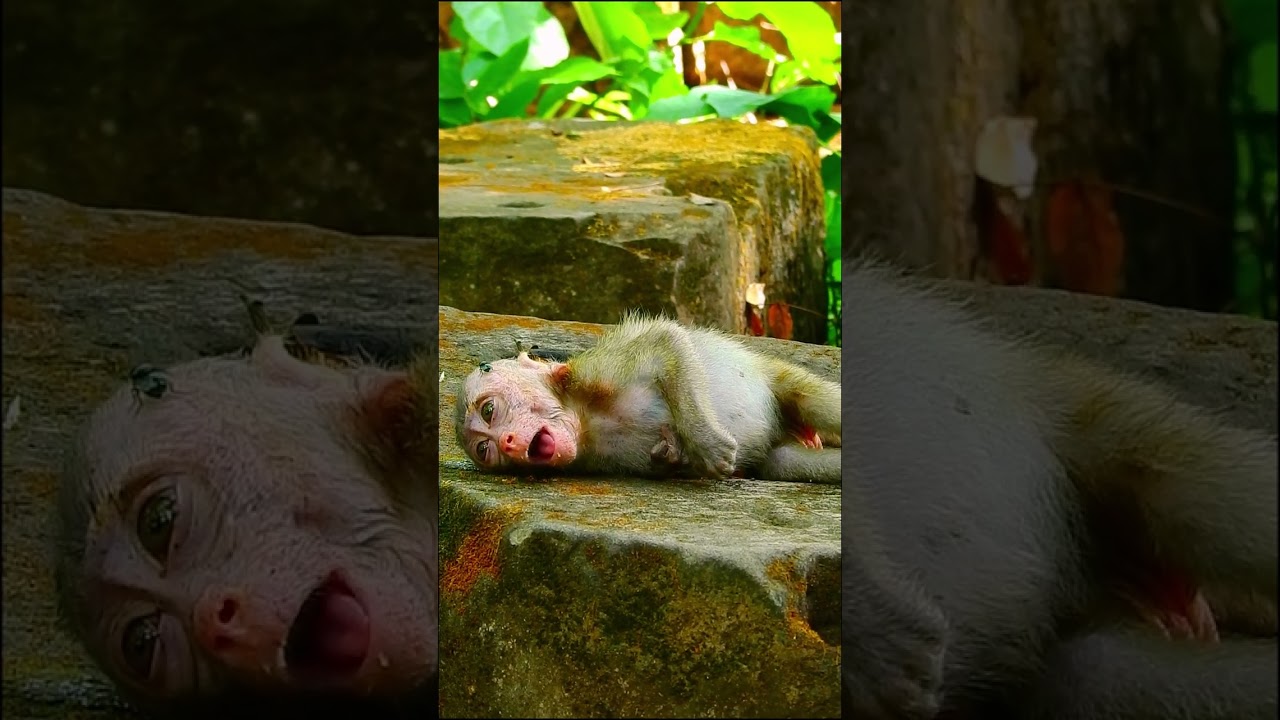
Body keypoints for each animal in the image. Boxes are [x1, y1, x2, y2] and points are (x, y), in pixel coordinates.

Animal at [452, 314, 842, 483]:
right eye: (485, 449)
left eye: (489, 410)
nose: (508, 441)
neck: (586, 421)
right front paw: (674, 453)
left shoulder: (595, 374)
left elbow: (666, 340)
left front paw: (707, 443)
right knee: (785, 463)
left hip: (777, 376)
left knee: (819, 403)